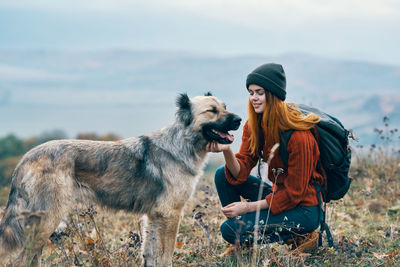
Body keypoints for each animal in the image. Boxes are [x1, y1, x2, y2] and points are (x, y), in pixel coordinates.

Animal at [0, 93, 241, 266]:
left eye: (224, 106)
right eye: (212, 111)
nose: (239, 119)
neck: (182, 143)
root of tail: (26, 158)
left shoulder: (154, 217)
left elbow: (151, 253)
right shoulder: (170, 215)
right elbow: (165, 254)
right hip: (47, 219)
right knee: (21, 259)